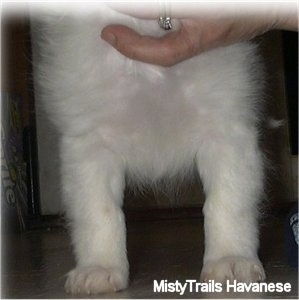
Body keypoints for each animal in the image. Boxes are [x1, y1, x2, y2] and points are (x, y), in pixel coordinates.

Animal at [31, 3, 268, 294]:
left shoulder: (226, 132)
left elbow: (227, 203)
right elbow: (99, 212)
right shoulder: (91, 144)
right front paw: (99, 268)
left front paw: (231, 259)